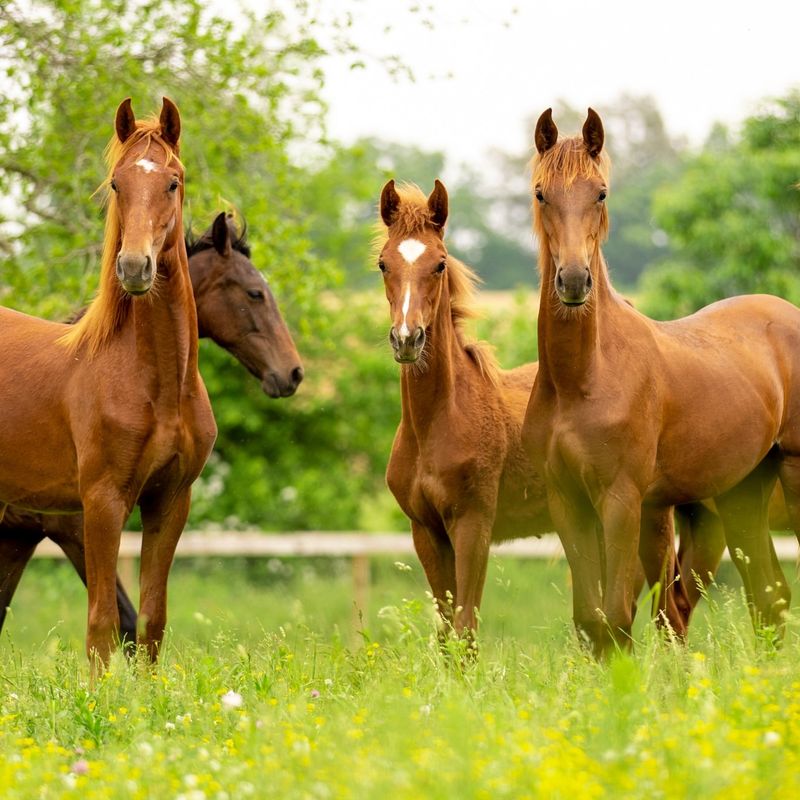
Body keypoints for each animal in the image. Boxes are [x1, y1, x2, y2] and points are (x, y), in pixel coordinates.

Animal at [0, 97, 217, 664]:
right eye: (117, 183)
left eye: (173, 182)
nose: (135, 266)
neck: (157, 385)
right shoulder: (101, 503)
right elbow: (102, 625)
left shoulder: (170, 501)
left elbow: (151, 621)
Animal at [378, 181, 552, 636]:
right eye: (383, 263)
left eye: (439, 264)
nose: (407, 339)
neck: (436, 423)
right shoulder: (426, 531)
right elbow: (445, 629)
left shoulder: (474, 525)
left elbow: (465, 627)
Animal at [520, 108, 800, 656]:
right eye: (541, 194)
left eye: (601, 192)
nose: (574, 282)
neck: (582, 379)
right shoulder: (569, 502)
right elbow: (591, 619)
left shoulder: (621, 501)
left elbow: (617, 617)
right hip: (741, 492)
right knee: (768, 596)